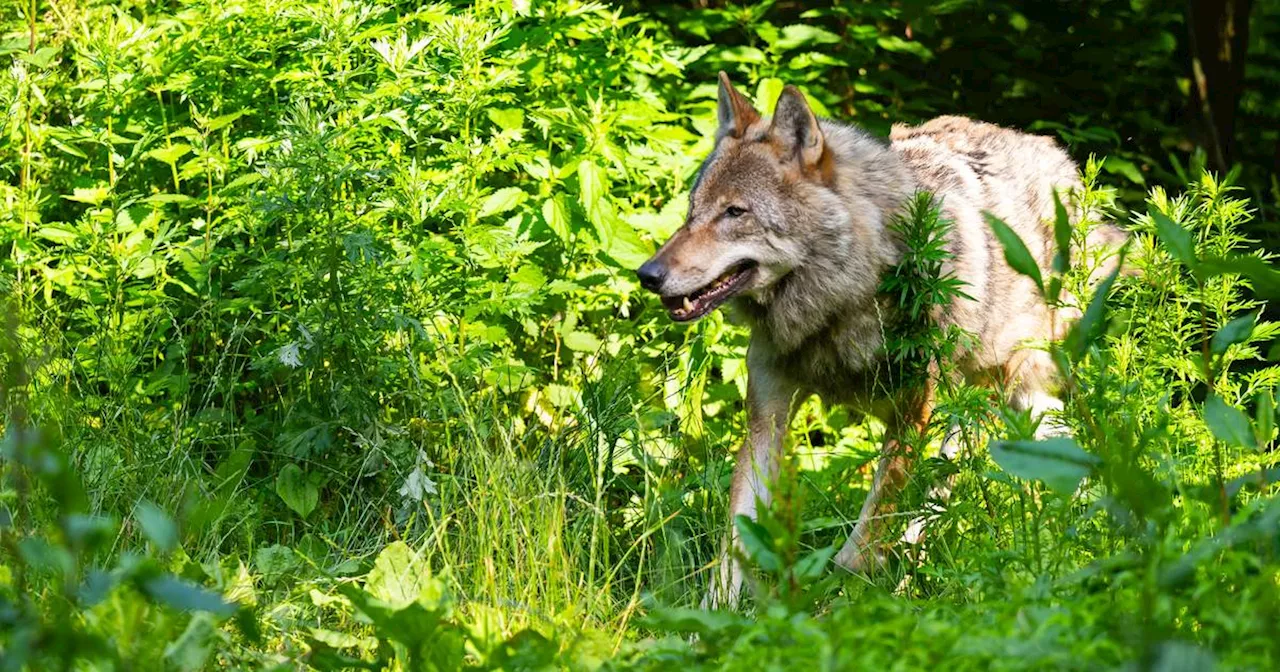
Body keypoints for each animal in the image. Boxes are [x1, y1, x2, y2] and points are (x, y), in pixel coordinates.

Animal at [634, 73, 1126, 606]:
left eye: (734, 212)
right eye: (692, 211)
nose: (648, 275)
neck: (839, 305)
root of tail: (1057, 156)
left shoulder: (912, 419)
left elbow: (862, 544)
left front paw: (842, 607)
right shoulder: (768, 420)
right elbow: (733, 549)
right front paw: (706, 621)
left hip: (1002, 398)